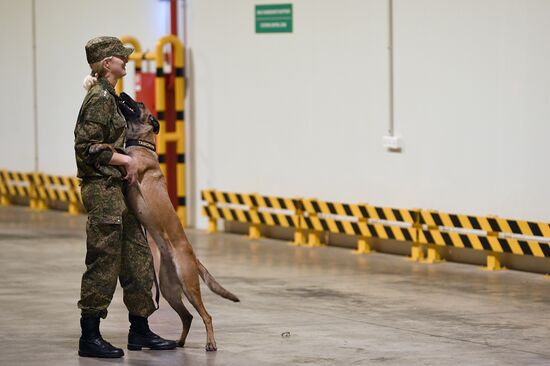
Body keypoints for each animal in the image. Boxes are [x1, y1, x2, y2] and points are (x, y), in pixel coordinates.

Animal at [89, 101, 238, 352]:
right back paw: (177, 342)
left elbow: (117, 150)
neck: (142, 145)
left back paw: (210, 343)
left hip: (189, 286)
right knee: (188, 316)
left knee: (206, 316)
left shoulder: (131, 170)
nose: (124, 95)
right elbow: (117, 149)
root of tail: (193, 256)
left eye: (139, 105)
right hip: (169, 290)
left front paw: (98, 146)